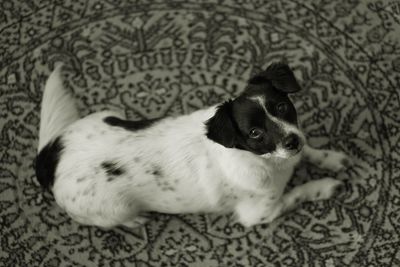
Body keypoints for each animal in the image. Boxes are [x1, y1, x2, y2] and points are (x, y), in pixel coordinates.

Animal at [36, 63, 350, 229]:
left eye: (283, 106)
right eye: (255, 133)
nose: (292, 141)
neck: (269, 162)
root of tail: (50, 156)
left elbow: (310, 152)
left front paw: (332, 158)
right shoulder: (259, 213)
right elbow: (298, 193)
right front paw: (325, 185)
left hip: (109, 114)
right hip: (112, 209)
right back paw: (135, 221)